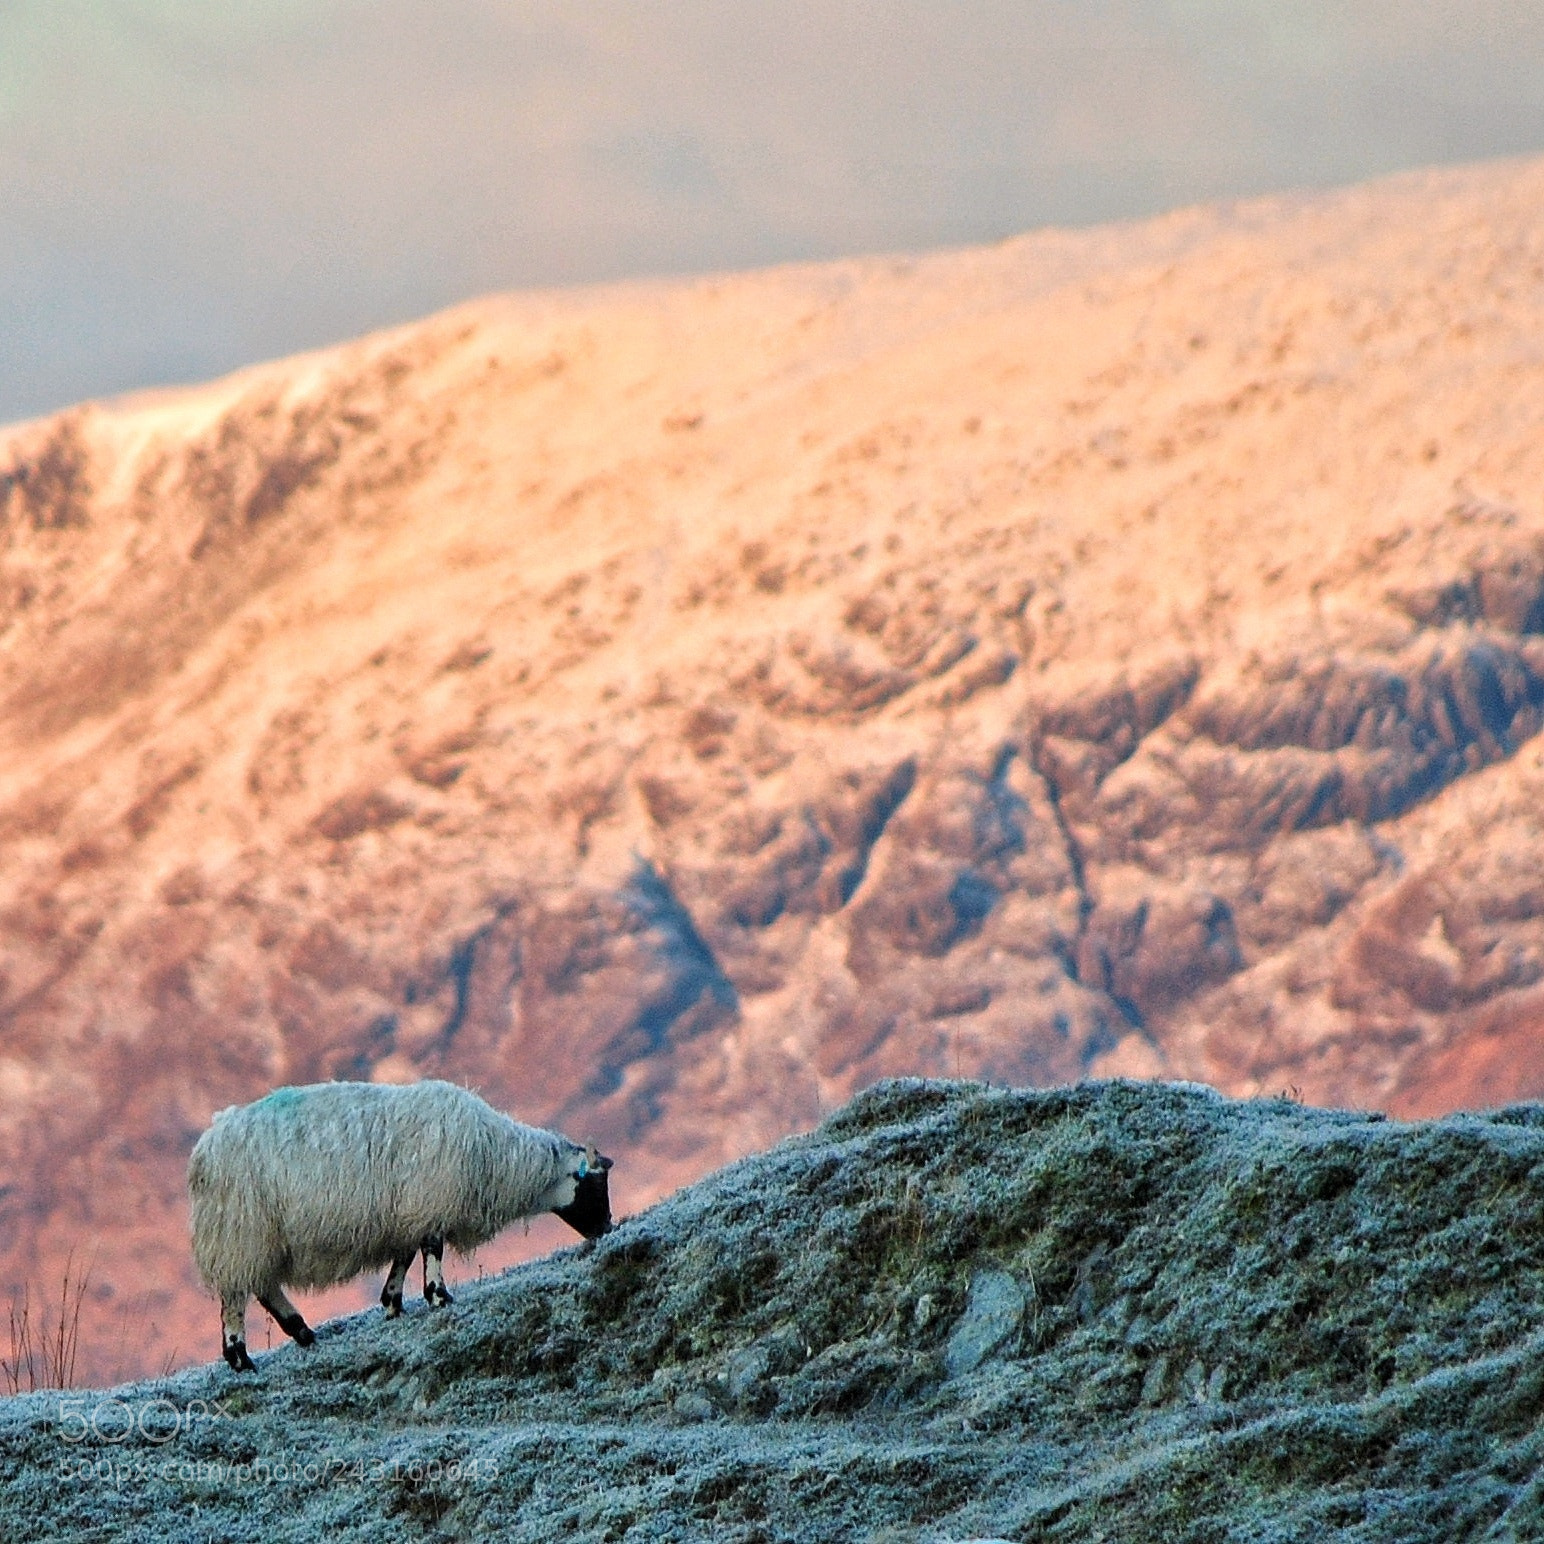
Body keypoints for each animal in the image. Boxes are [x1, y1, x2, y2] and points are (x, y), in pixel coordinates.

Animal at [187, 1079, 614, 1372]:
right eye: (595, 1185)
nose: (608, 1228)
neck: (496, 1157)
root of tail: (205, 1148)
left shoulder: (408, 1213)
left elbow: (405, 1256)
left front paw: (393, 1302)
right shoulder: (430, 1201)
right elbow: (432, 1250)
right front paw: (438, 1296)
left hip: (257, 1237)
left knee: (263, 1287)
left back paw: (303, 1333)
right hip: (240, 1229)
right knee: (236, 1296)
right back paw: (240, 1357)